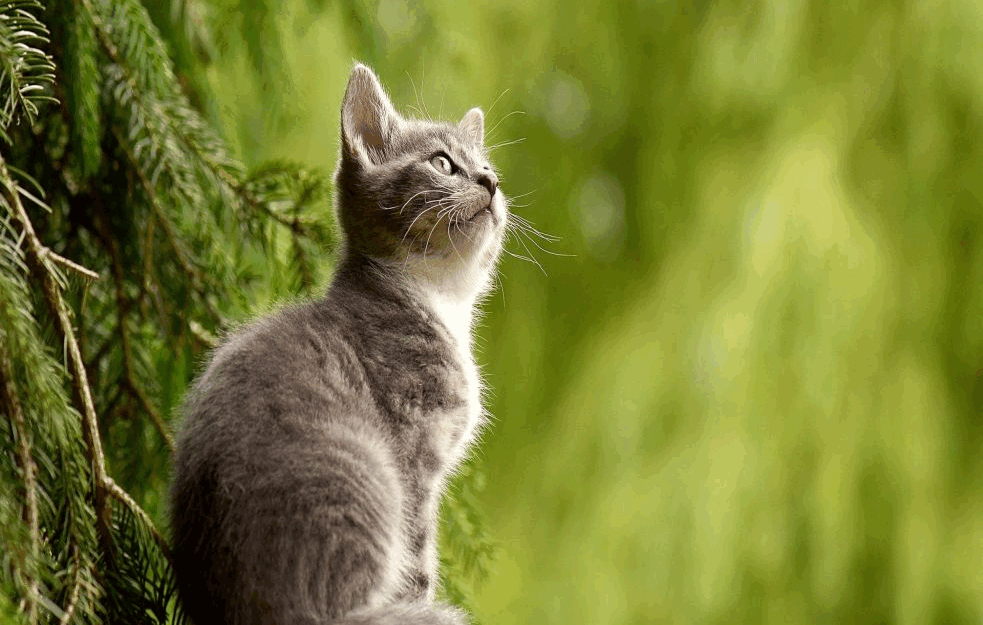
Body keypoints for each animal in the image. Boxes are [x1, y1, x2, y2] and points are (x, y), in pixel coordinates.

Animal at [170, 64, 508, 624]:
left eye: (486, 165)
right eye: (442, 162)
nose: (492, 182)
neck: (437, 299)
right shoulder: (414, 453)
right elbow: (418, 557)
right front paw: (422, 601)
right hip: (363, 473)